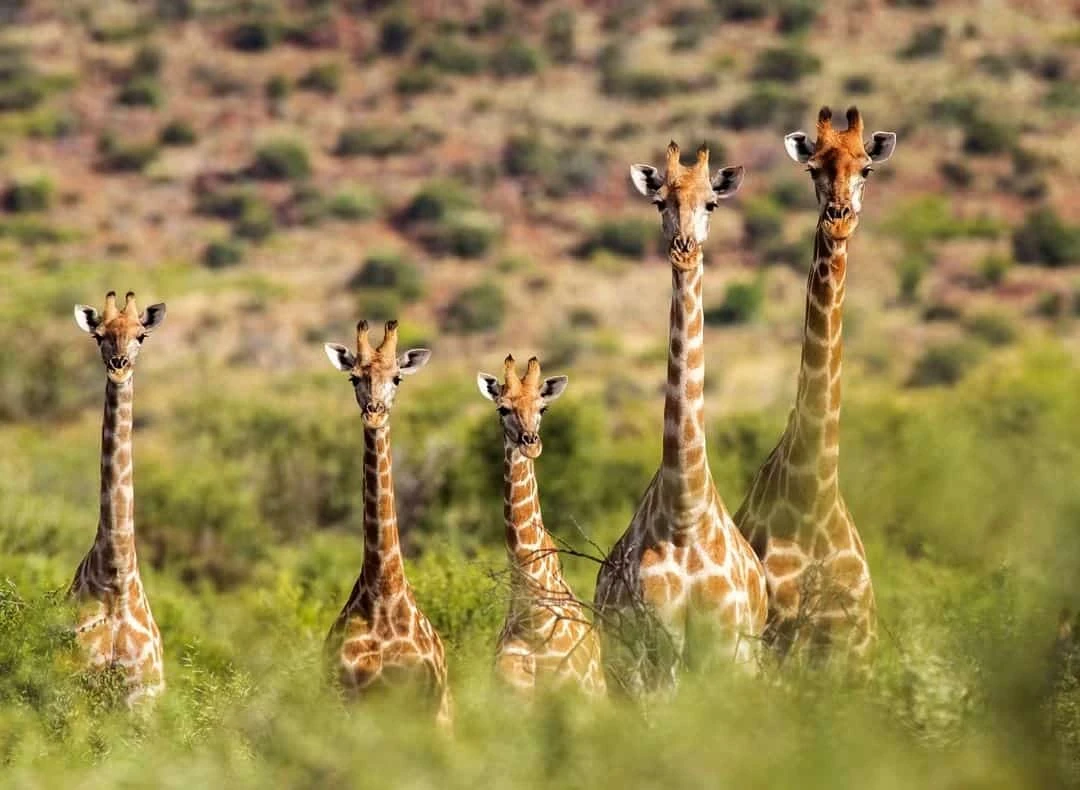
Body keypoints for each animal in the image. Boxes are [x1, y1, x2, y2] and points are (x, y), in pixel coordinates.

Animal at [323, 319, 452, 727]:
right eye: (354, 377)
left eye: (397, 378)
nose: (374, 413)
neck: (383, 593)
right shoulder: (347, 697)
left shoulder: (422, 701)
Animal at [594, 141, 768, 696]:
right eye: (659, 202)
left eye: (711, 202)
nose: (684, 247)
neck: (686, 514)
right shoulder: (654, 653)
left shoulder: (729, 650)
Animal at [733, 106, 896, 669]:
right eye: (812, 170)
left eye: (867, 168)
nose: (839, 216)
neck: (814, 496)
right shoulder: (779, 643)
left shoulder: (857, 648)